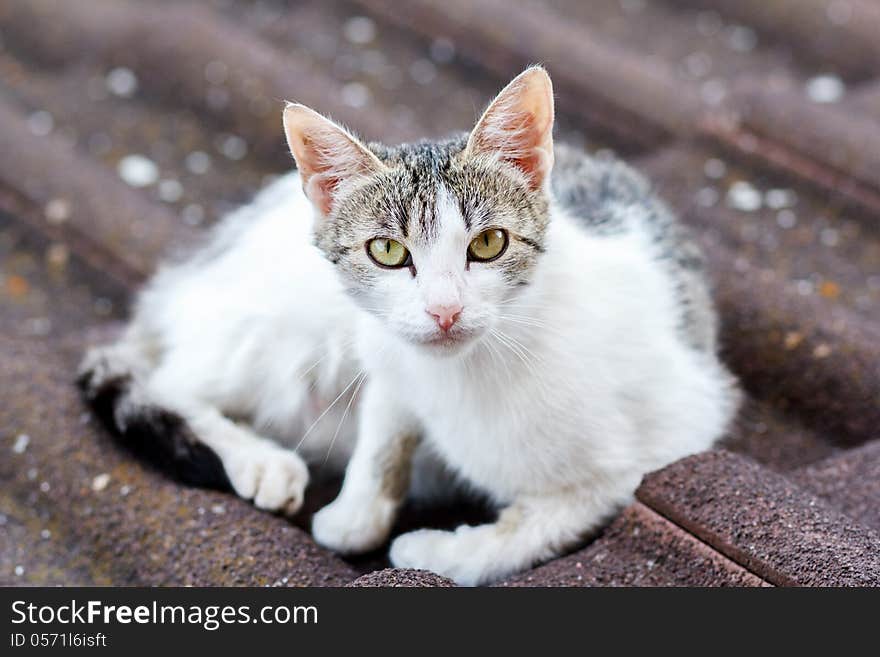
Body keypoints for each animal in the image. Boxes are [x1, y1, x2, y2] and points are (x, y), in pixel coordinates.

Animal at [77, 68, 744, 584]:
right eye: (388, 252)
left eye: (490, 243)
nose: (444, 311)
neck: (470, 372)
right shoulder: (383, 350)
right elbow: (383, 433)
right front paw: (355, 516)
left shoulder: (662, 446)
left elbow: (542, 523)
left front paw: (435, 550)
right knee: (168, 379)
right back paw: (259, 460)